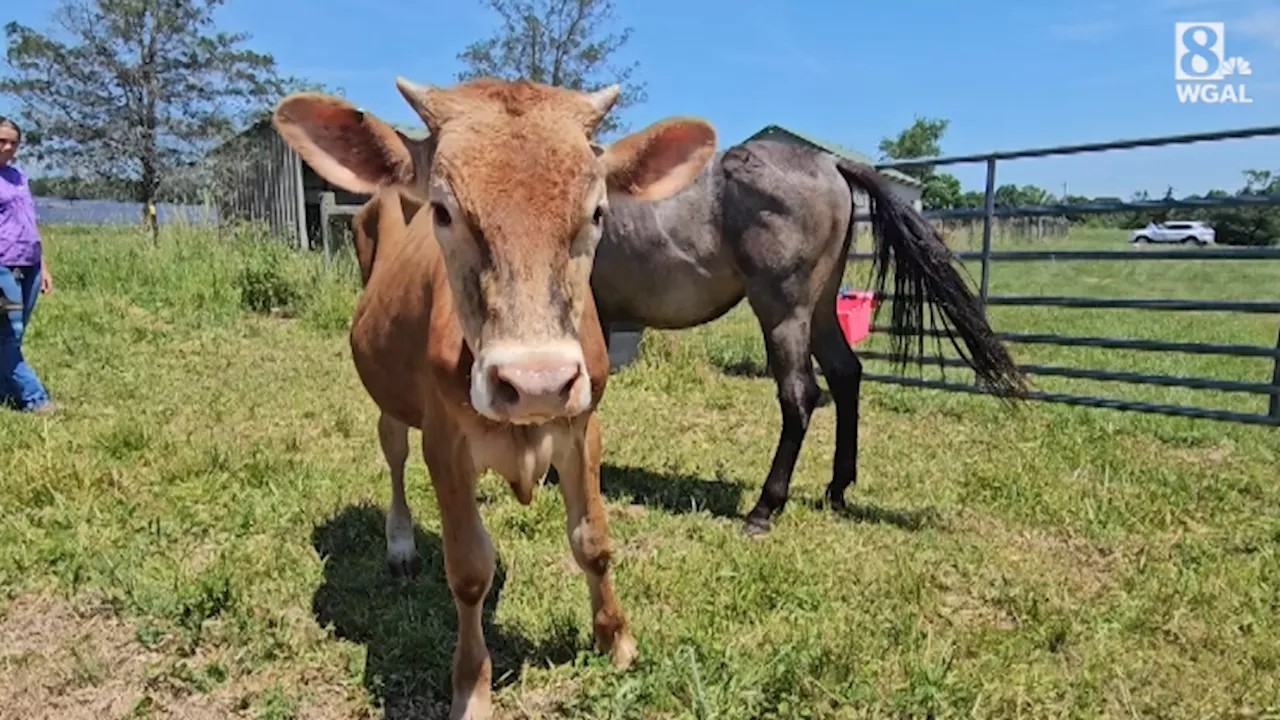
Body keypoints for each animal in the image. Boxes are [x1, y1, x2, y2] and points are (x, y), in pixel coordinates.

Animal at [268, 75, 716, 712]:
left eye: (597, 212)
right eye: (443, 209)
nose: (536, 382)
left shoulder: (583, 425)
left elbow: (592, 540)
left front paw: (616, 641)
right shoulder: (445, 443)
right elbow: (469, 568)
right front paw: (471, 688)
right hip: (388, 400)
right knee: (393, 455)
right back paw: (400, 544)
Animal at [591, 139, 1029, 532]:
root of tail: (830, 164)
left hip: (784, 314)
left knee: (800, 396)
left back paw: (764, 509)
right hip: (818, 312)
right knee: (845, 373)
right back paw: (836, 490)